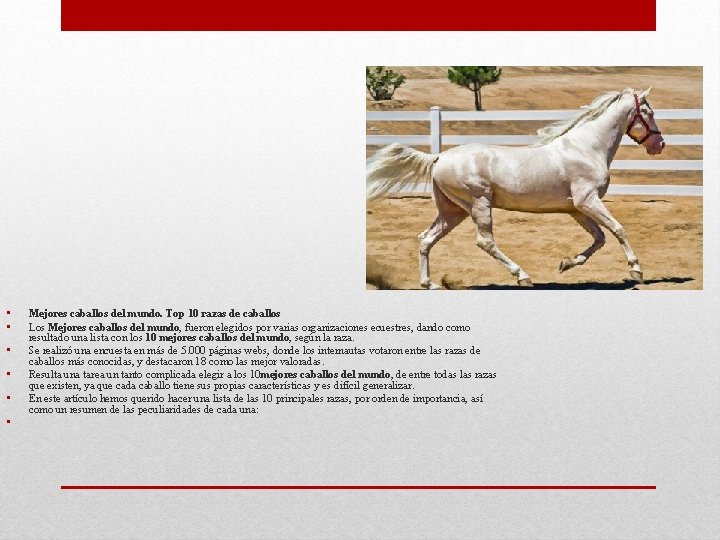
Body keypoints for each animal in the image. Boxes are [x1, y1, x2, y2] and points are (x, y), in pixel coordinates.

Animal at [366, 88, 665, 289]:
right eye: (648, 112)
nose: (659, 145)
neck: (586, 148)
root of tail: (439, 158)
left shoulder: (576, 209)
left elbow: (599, 238)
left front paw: (566, 263)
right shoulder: (588, 201)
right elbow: (618, 229)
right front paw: (636, 271)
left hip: (452, 211)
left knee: (426, 238)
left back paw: (430, 283)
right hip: (479, 203)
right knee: (485, 241)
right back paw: (523, 276)